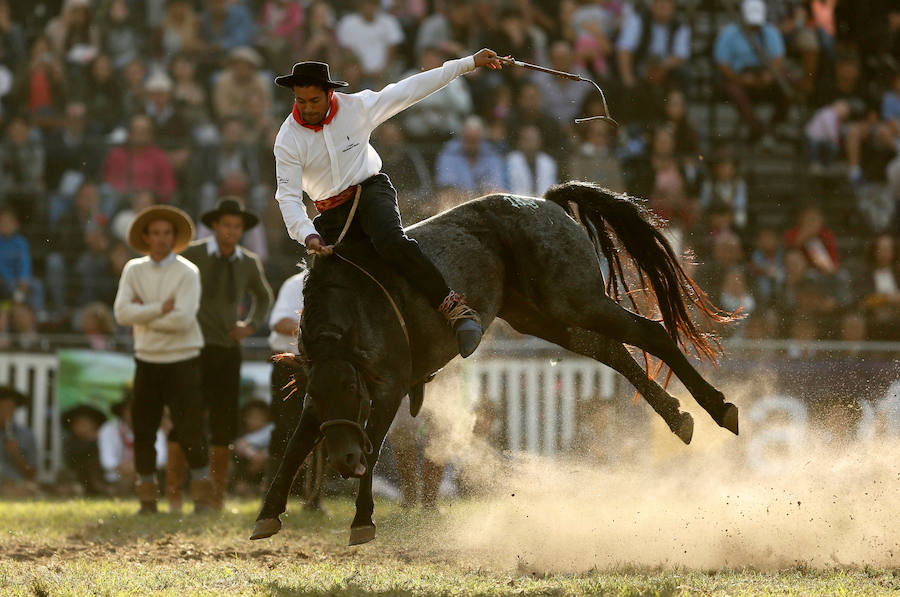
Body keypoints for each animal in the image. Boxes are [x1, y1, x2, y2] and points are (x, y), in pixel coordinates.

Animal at [250, 181, 739, 545]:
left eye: (353, 390)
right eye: (318, 393)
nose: (343, 459)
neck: (353, 306)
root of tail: (545, 202)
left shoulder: (388, 386)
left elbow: (372, 447)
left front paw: (362, 521)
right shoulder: (320, 399)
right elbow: (296, 446)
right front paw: (267, 514)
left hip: (577, 299)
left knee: (651, 333)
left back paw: (719, 409)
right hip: (541, 314)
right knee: (611, 350)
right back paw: (680, 417)